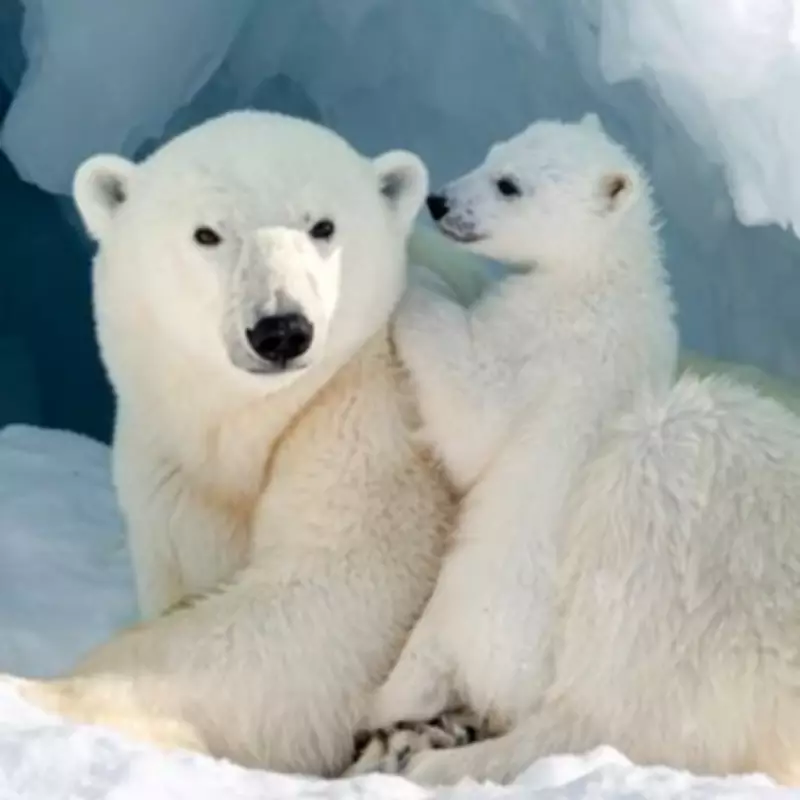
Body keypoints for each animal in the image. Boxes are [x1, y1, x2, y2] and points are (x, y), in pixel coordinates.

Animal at [1, 110, 457, 777]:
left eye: (322, 226)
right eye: (207, 234)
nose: (281, 329)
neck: (250, 424)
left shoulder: (370, 419)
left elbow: (322, 607)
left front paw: (34, 692)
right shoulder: (170, 470)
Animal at [352, 117, 800, 789]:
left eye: (509, 185)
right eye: (495, 153)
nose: (440, 202)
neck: (606, 278)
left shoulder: (550, 341)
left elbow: (474, 410)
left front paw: (411, 279)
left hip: (518, 597)